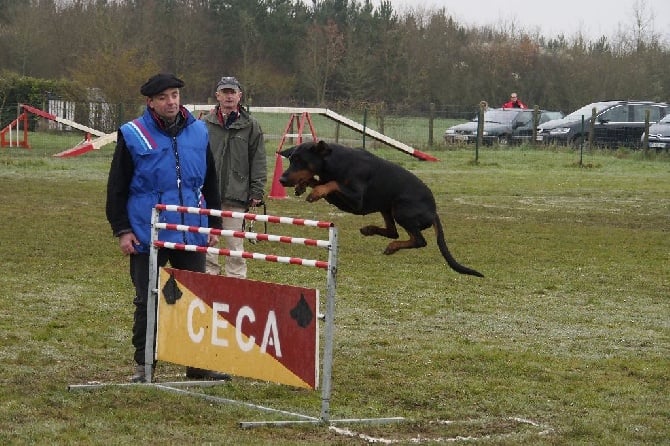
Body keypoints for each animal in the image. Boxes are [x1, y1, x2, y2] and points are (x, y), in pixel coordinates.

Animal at [278, 141, 484, 278]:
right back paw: (370, 230)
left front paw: (314, 192)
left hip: (401, 208)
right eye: (291, 159)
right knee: (393, 231)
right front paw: (302, 185)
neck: (335, 162)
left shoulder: (355, 201)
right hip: (387, 207)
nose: (282, 179)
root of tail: (433, 212)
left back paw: (392, 247)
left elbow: (331, 183)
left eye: (301, 161)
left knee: (418, 240)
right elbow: (319, 180)